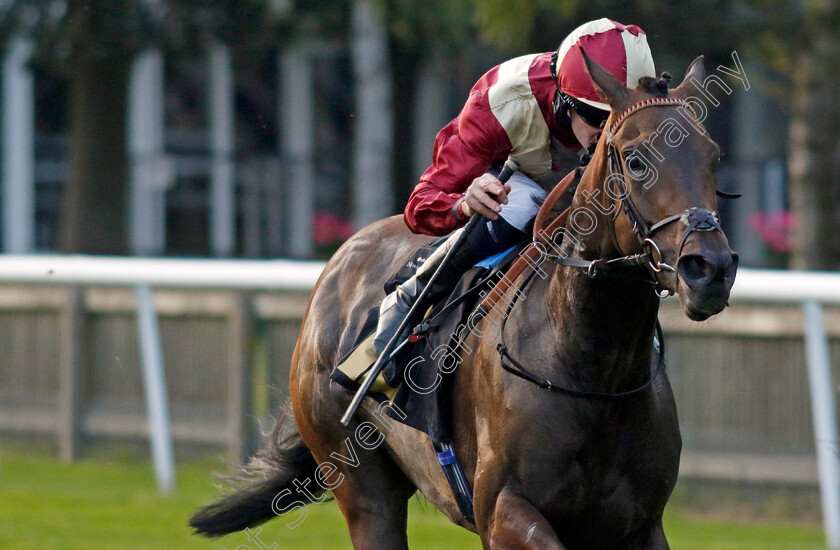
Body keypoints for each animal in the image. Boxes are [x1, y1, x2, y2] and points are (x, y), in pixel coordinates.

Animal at [190, 52, 736, 550]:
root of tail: (340, 260)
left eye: (714, 157)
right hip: (362, 488)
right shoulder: (503, 511)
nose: (709, 269)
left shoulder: (641, 525)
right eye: (636, 159)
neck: (592, 367)